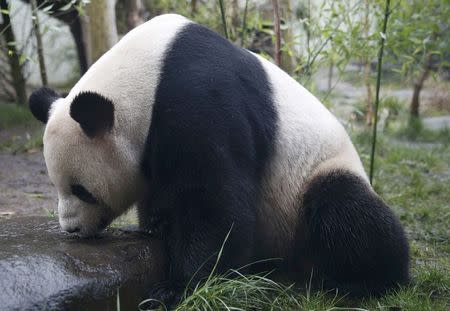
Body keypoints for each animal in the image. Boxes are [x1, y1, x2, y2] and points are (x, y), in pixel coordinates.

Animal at [27, 14, 408, 308]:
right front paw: (150, 228)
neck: (146, 76)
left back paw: (368, 280)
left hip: (311, 178)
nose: (72, 229)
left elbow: (213, 200)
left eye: (81, 190)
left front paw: (175, 289)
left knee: (345, 211)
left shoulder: (200, 98)